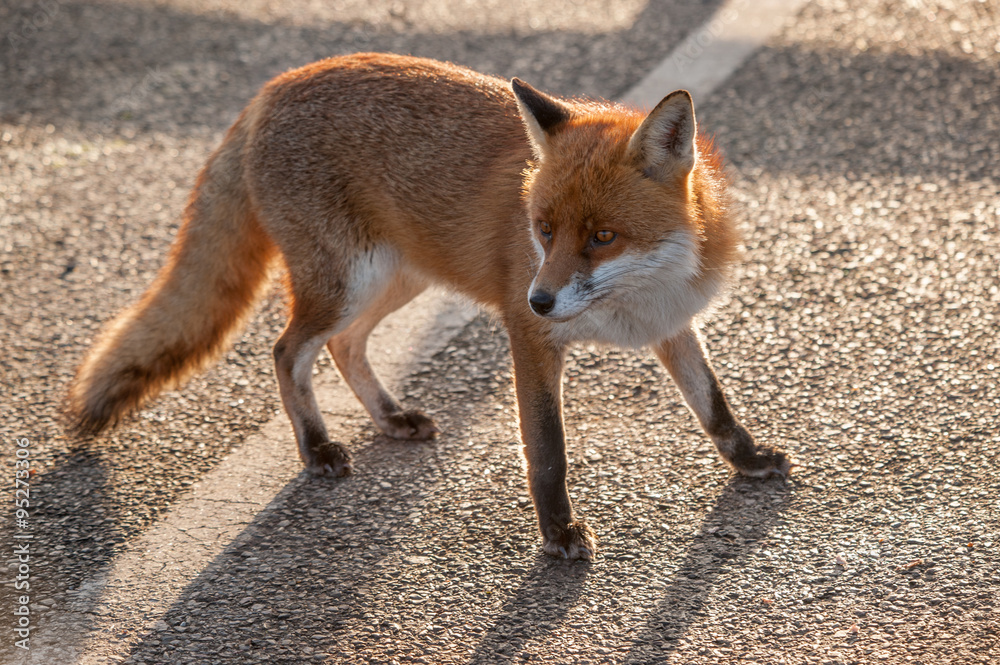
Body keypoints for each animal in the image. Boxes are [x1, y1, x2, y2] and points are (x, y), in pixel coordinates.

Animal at [69, 53, 790, 560]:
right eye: (543, 229)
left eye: (602, 237)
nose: (539, 297)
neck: (640, 296)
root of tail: (275, 85)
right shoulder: (530, 340)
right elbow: (547, 451)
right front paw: (558, 535)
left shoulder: (673, 325)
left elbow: (714, 406)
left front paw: (749, 459)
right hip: (348, 284)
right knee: (286, 350)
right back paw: (316, 446)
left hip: (395, 281)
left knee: (344, 347)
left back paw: (390, 418)